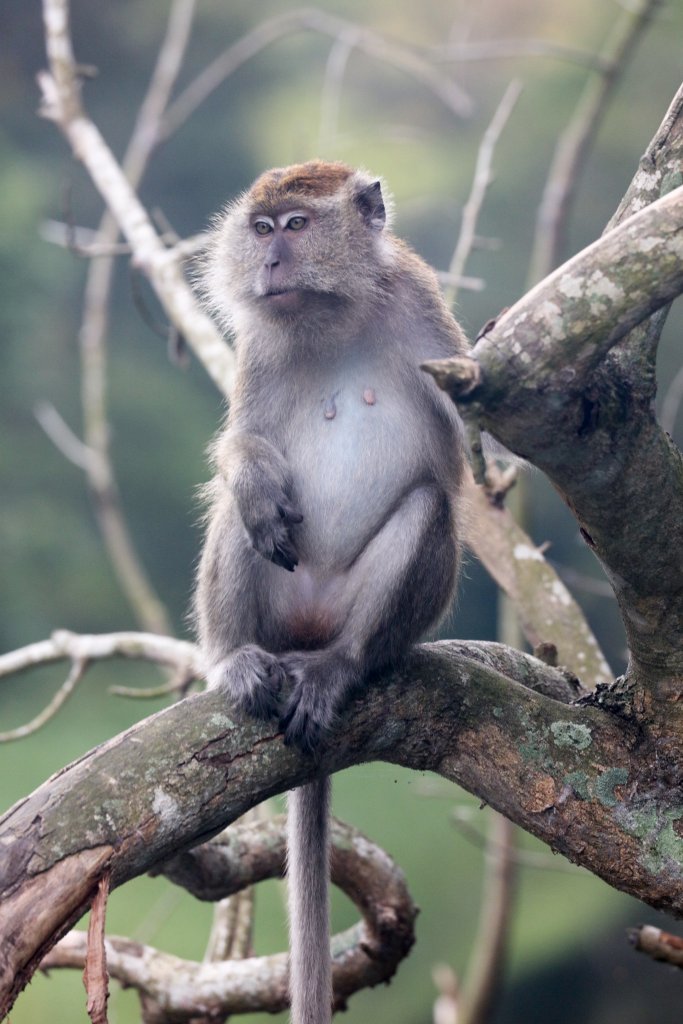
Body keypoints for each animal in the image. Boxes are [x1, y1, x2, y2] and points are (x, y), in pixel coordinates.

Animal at [194, 160, 468, 1024]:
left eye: (297, 225)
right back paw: (233, 658)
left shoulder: (420, 301)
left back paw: (341, 665)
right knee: (242, 518)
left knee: (427, 505)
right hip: (275, 610)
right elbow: (241, 449)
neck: (330, 312)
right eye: (260, 229)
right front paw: (252, 473)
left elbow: (461, 458)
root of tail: (305, 636)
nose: (271, 261)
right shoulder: (257, 347)